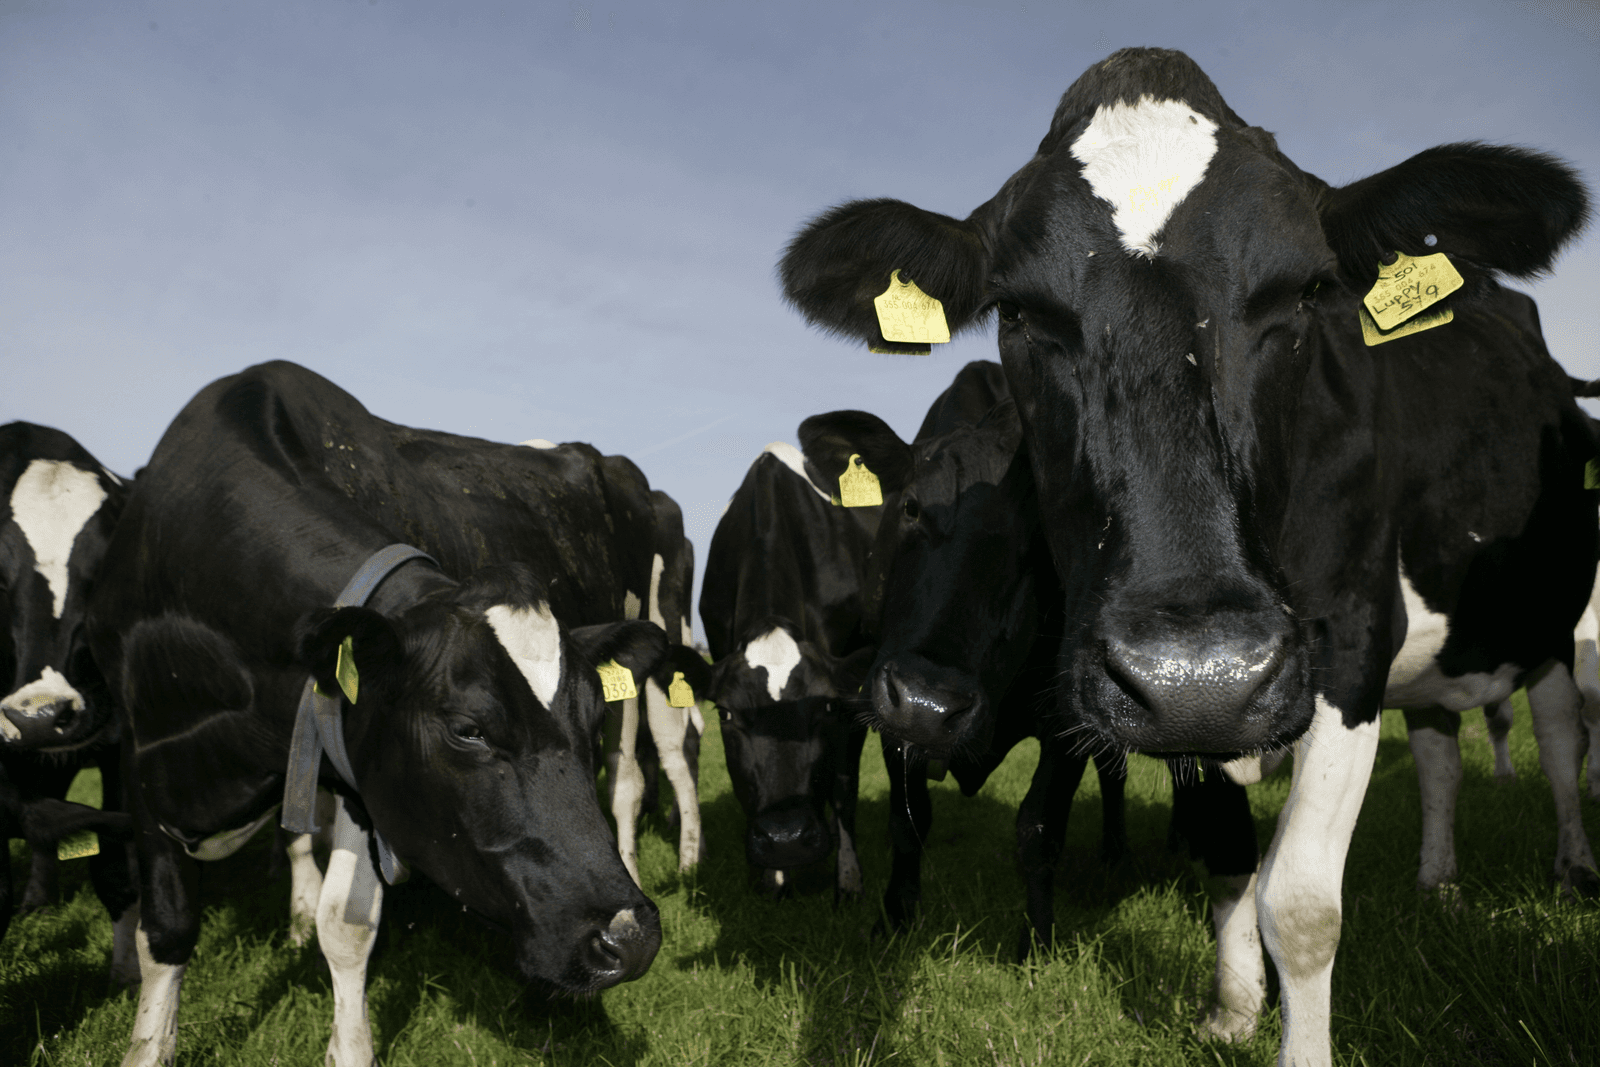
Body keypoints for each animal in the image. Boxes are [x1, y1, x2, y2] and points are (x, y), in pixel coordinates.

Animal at [84, 361, 679, 1067]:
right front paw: (147, 1045)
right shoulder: (139, 748)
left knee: (628, 781)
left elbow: (344, 927)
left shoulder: (357, 770)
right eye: (467, 730)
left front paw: (350, 1047)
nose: (631, 937)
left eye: (584, 723)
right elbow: (165, 931)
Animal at [801, 394, 1265, 1038]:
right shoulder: (889, 695)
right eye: (912, 507)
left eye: (1040, 553)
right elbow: (907, 820)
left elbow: (1038, 829)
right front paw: (894, 917)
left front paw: (1037, 946)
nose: (931, 702)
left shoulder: (1066, 721)